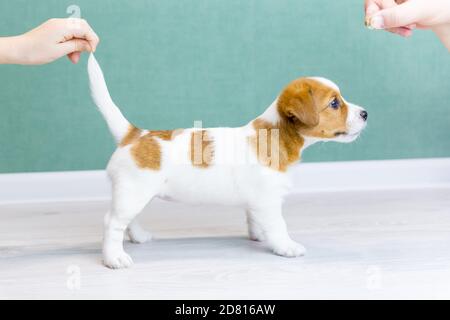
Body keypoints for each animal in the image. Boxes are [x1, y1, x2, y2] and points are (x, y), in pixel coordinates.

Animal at [87, 53, 366, 268]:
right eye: (334, 103)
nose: (365, 113)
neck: (276, 135)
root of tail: (133, 134)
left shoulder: (257, 202)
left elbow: (254, 219)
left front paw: (259, 235)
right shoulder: (269, 201)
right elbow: (279, 225)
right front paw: (286, 246)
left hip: (135, 195)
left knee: (128, 220)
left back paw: (139, 237)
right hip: (133, 194)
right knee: (112, 223)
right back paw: (114, 258)